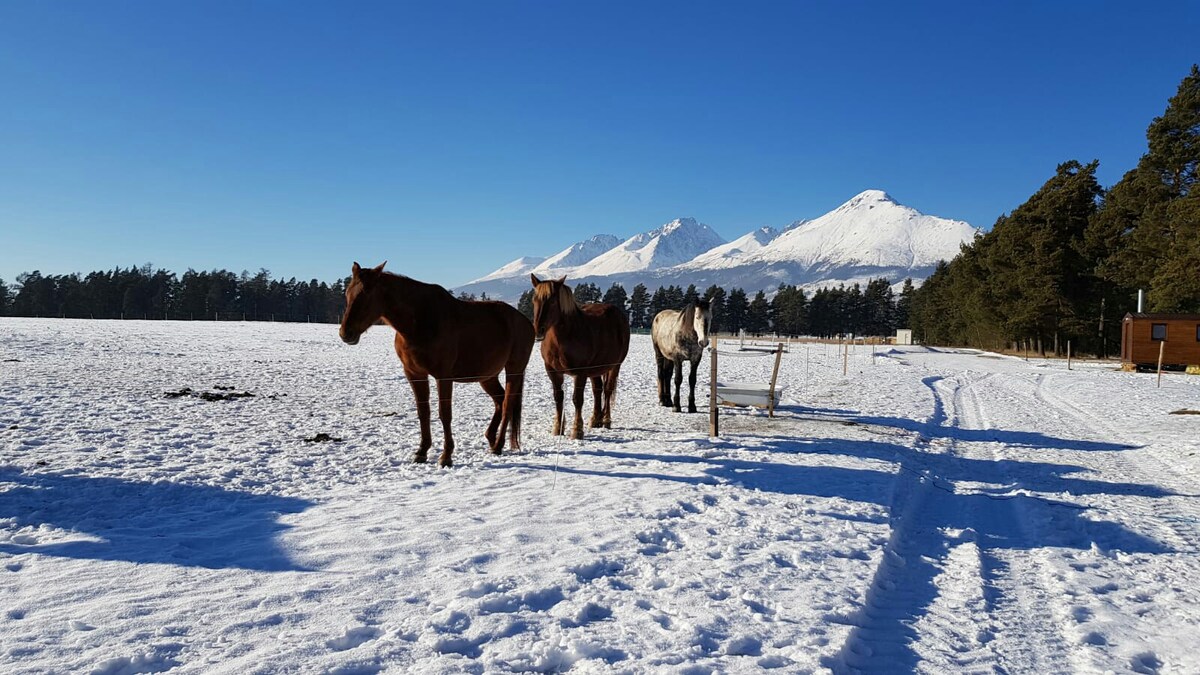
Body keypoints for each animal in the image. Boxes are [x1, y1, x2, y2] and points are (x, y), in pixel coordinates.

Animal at [340, 260, 532, 466]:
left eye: (366, 293)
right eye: (348, 293)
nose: (345, 333)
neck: (420, 322)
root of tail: (526, 322)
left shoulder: (443, 376)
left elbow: (444, 414)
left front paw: (446, 456)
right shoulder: (415, 374)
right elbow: (423, 412)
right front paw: (422, 451)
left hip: (514, 370)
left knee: (507, 405)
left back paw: (498, 445)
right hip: (487, 376)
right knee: (499, 401)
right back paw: (491, 438)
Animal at [530, 275, 633, 439]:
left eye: (552, 301)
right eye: (535, 299)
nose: (538, 330)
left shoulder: (580, 372)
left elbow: (577, 399)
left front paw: (577, 430)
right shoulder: (553, 371)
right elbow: (558, 397)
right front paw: (558, 428)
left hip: (615, 366)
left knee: (608, 390)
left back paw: (606, 420)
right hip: (596, 369)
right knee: (597, 390)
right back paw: (595, 420)